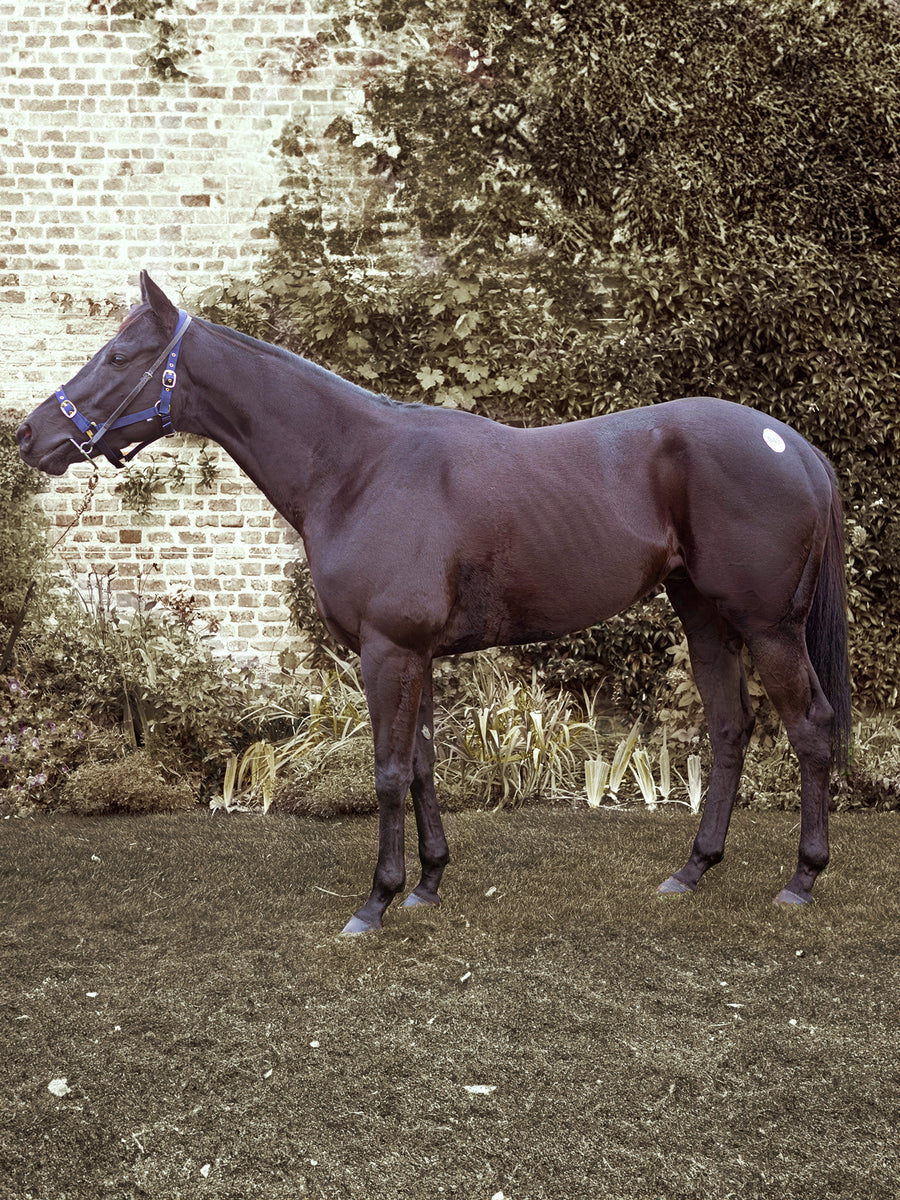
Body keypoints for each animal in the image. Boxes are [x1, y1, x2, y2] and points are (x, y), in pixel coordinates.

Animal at [17, 272, 851, 934]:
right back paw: (693, 869)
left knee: (810, 728)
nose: (32, 434)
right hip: (703, 616)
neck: (359, 468)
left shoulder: (388, 652)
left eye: (120, 356)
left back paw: (801, 879)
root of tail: (795, 446)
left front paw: (375, 903)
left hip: (769, 627)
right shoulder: (414, 655)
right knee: (730, 728)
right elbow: (419, 765)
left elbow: (388, 771)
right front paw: (427, 885)